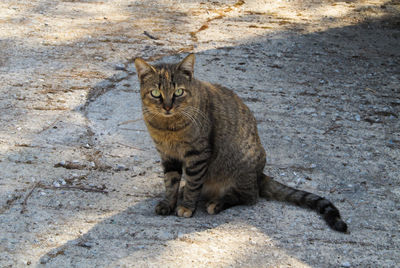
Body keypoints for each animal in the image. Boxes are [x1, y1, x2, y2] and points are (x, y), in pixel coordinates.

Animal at [134, 54, 346, 232]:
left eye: (178, 91)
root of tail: (260, 174)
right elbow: (170, 183)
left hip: (239, 167)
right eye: (155, 93)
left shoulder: (197, 154)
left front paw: (186, 206)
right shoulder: (167, 155)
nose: (167, 106)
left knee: (249, 196)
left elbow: (194, 183)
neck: (167, 127)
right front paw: (169, 203)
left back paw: (217, 203)